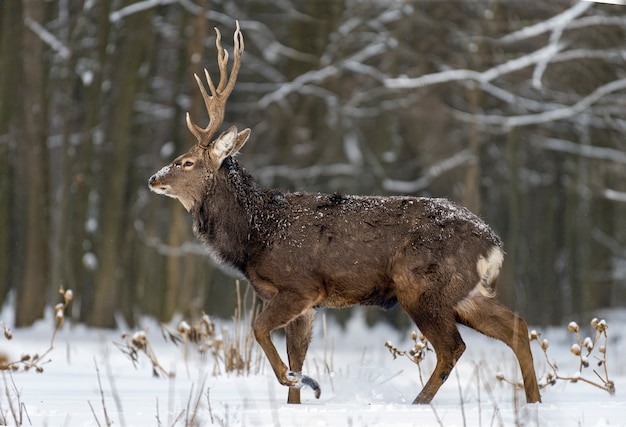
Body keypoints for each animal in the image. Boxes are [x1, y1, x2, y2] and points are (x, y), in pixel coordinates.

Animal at [149, 22, 540, 408]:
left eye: (186, 162)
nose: (153, 178)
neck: (255, 234)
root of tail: (494, 245)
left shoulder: (300, 285)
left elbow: (260, 330)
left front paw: (299, 380)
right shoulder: (308, 304)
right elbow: (296, 354)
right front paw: (298, 395)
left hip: (422, 286)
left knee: (453, 347)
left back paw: (418, 403)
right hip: (466, 293)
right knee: (518, 328)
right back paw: (533, 402)